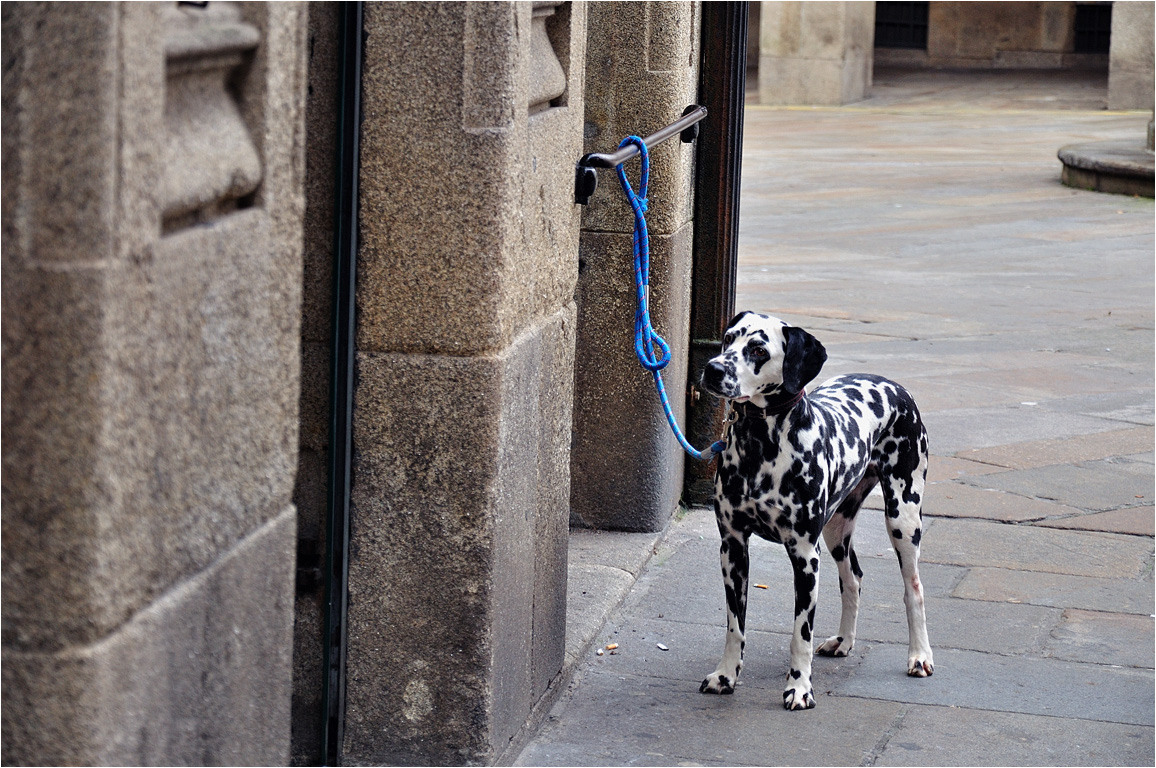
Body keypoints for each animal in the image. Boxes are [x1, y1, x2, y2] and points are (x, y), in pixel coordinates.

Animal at [693, 309, 929, 707]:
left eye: (758, 349)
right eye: (728, 338)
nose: (713, 369)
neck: (760, 449)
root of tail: (893, 386)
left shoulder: (805, 556)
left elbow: (799, 635)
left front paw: (800, 687)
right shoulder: (733, 549)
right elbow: (735, 625)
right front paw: (726, 675)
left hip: (903, 519)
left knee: (914, 589)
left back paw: (920, 655)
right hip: (836, 530)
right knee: (853, 579)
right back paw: (844, 641)